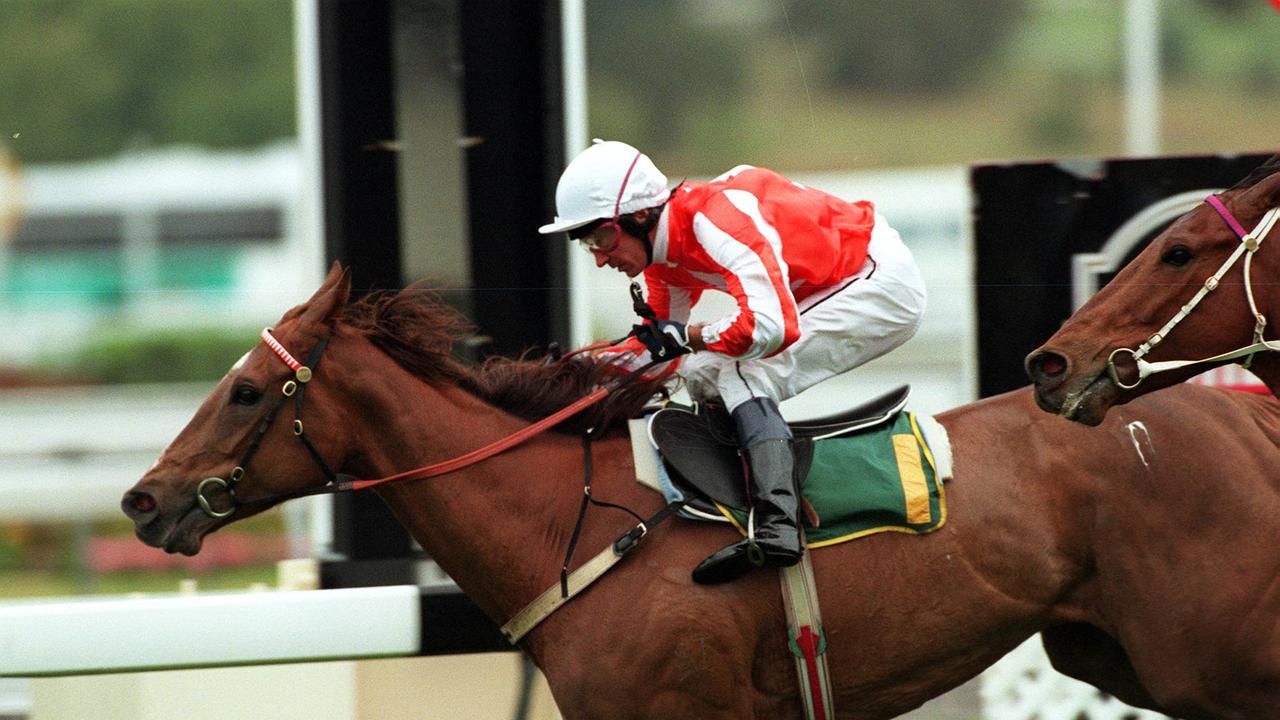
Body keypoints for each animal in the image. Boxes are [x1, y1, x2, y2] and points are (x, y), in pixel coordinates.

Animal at [122, 266, 1280, 712]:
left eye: (246, 391)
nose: (144, 499)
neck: (571, 525)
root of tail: (1235, 406)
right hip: (1119, 654)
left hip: (1206, 657)